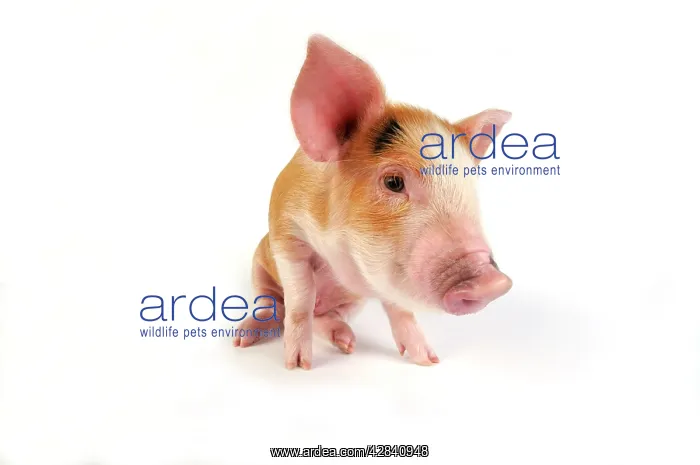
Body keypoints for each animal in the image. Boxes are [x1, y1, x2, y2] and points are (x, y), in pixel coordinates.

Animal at [233, 34, 513, 369]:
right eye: (393, 182)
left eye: (469, 184)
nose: (495, 283)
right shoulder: (285, 229)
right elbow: (300, 298)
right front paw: (298, 366)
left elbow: (400, 309)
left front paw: (429, 361)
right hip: (259, 263)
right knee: (275, 304)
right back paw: (242, 339)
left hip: (352, 300)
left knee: (325, 315)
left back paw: (347, 343)